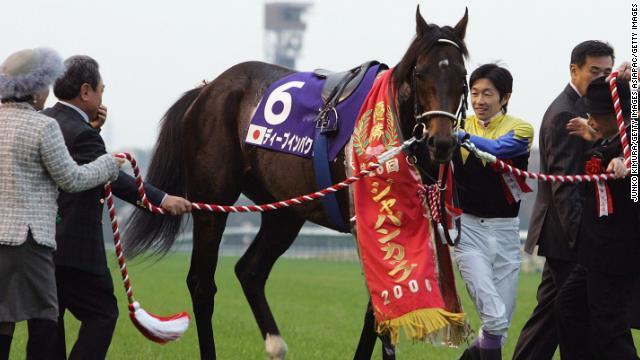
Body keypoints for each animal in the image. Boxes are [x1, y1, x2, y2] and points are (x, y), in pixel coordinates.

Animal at [122, 6, 468, 360]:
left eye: (462, 77)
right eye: (420, 73)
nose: (441, 142)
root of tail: (207, 90)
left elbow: (382, 310)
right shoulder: (368, 224)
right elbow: (380, 311)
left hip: (285, 210)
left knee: (250, 271)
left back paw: (275, 344)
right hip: (212, 203)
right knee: (202, 284)